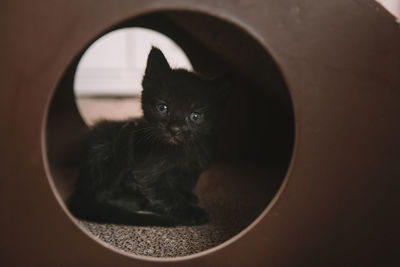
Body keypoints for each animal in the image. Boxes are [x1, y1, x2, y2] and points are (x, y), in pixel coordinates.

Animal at [68, 47, 230, 226]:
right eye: (162, 107)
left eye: (195, 116)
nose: (174, 129)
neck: (181, 151)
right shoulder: (146, 175)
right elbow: (167, 195)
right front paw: (191, 212)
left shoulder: (194, 167)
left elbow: (183, 185)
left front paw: (188, 196)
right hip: (102, 140)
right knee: (102, 191)